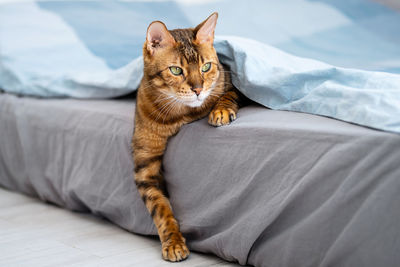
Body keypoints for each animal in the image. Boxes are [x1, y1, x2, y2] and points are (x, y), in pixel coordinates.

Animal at [132, 12, 244, 262]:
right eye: (176, 70)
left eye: (206, 67)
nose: (198, 89)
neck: (178, 116)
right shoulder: (145, 167)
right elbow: (160, 210)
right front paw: (173, 242)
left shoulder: (229, 82)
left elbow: (228, 94)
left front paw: (220, 110)